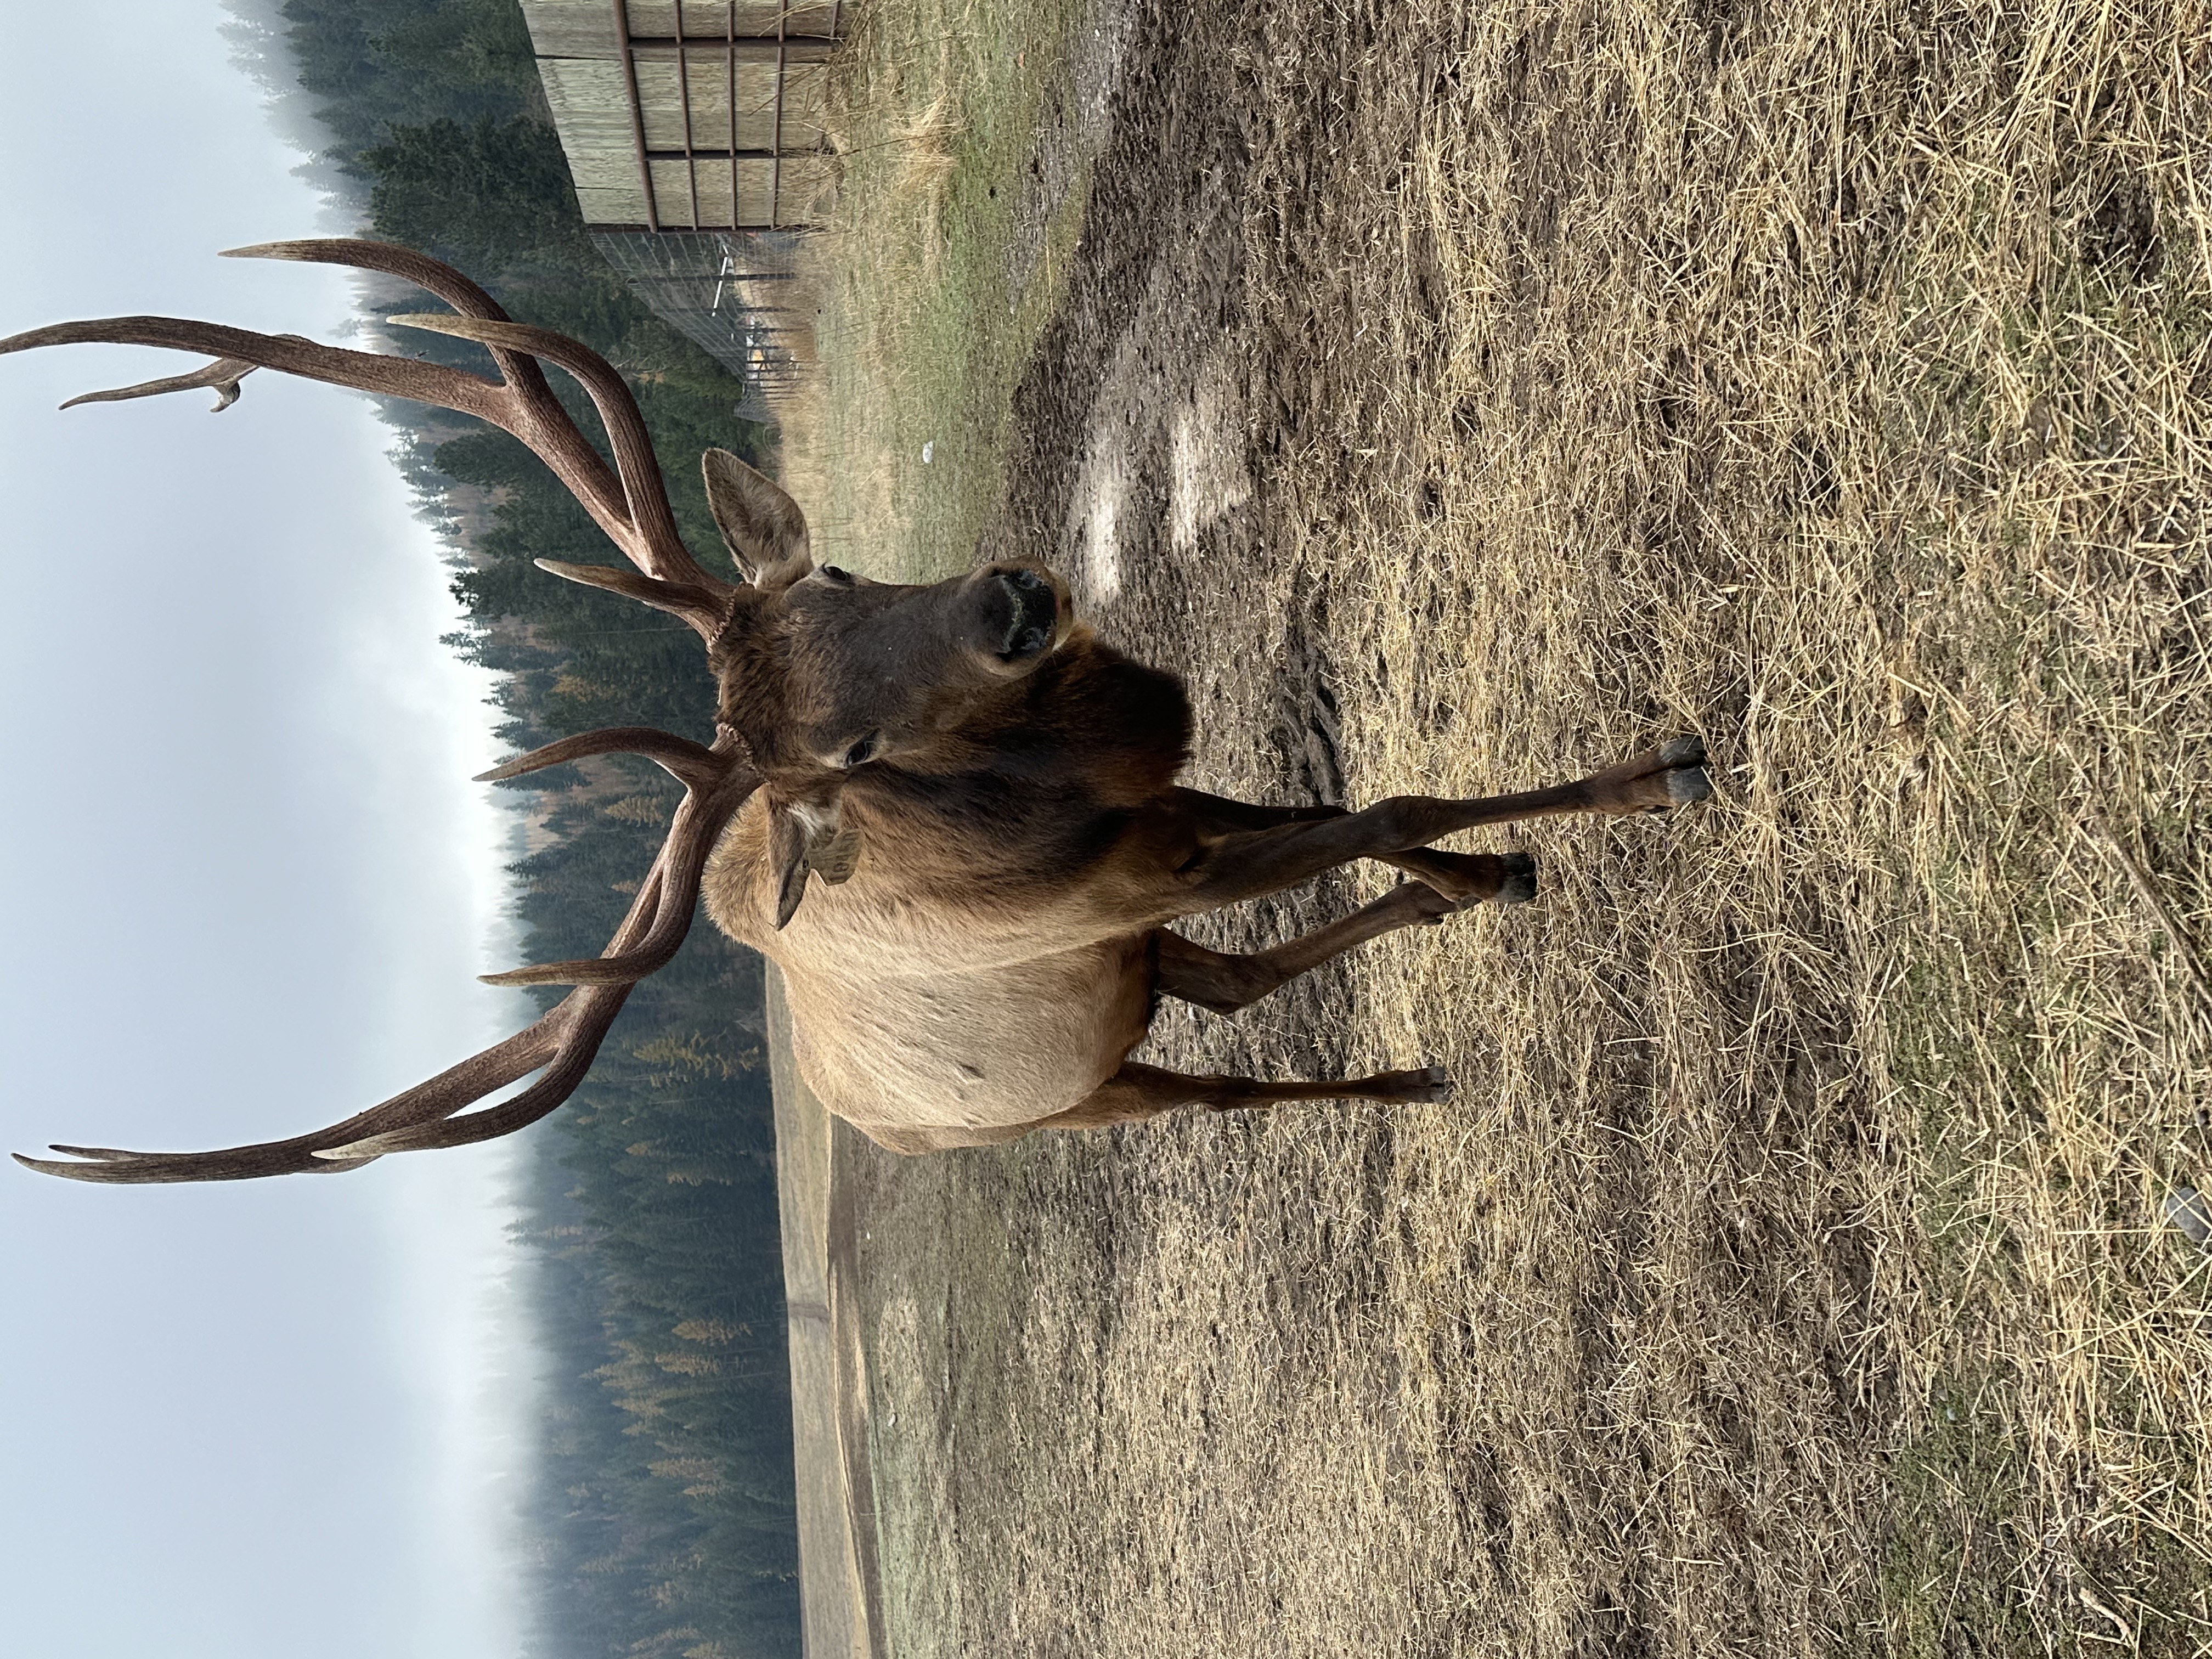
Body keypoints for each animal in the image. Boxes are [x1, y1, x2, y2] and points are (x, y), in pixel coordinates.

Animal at [4, 240, 1710, 1180]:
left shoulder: (1163, 812)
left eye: (828, 564)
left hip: (1119, 984)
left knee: (1221, 992)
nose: (1013, 603)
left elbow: (1363, 809)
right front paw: (1642, 782)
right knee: (1216, 1068)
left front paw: (1485, 872)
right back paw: (1400, 1072)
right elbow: (1384, 803)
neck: (1083, 768)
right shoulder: (1136, 870)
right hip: (1067, 1097)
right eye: (850, 756)